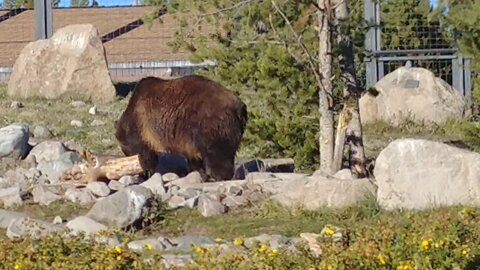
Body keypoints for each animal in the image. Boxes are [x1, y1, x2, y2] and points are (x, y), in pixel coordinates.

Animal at [113, 74, 248, 181]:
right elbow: (193, 158)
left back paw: (221, 175)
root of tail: (238, 106)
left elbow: (145, 154)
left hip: (211, 124)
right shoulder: (187, 139)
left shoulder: (142, 128)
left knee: (218, 152)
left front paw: (146, 173)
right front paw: (198, 172)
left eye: (125, 151)